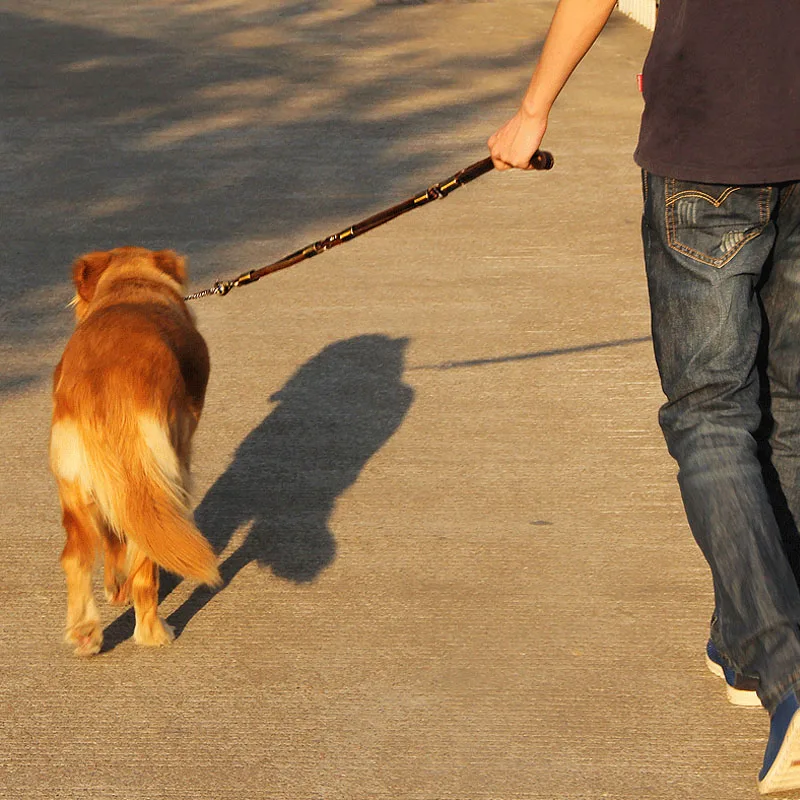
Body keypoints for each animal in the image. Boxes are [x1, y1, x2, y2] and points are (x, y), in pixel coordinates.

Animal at [50, 247, 220, 652]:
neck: (131, 285)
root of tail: (101, 386)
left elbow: (113, 539)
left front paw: (116, 586)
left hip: (77, 486)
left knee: (76, 557)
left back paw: (86, 631)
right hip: (152, 480)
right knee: (145, 568)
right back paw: (154, 632)